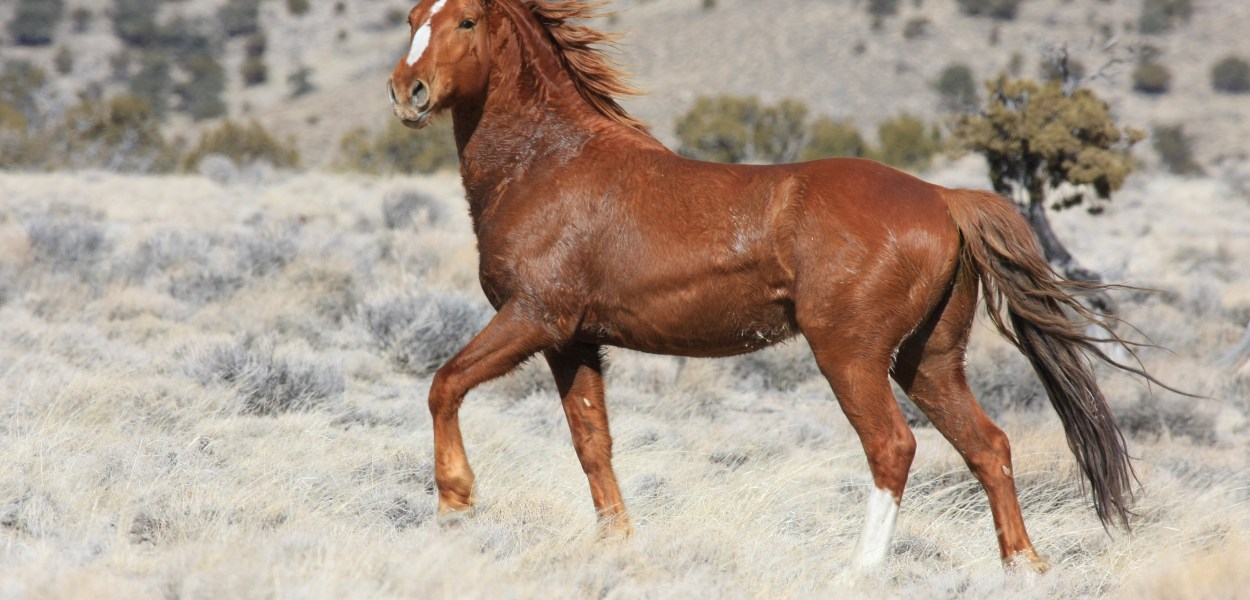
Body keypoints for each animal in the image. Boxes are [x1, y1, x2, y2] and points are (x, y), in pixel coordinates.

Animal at [386, 0, 1149, 574]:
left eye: (465, 21)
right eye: (413, 16)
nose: (406, 92)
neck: (549, 164)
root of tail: (943, 197)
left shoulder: (534, 318)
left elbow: (444, 384)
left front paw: (456, 505)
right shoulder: (573, 342)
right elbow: (592, 443)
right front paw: (618, 544)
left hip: (850, 354)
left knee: (894, 446)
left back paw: (859, 571)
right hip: (928, 360)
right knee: (987, 446)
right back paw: (1024, 566)